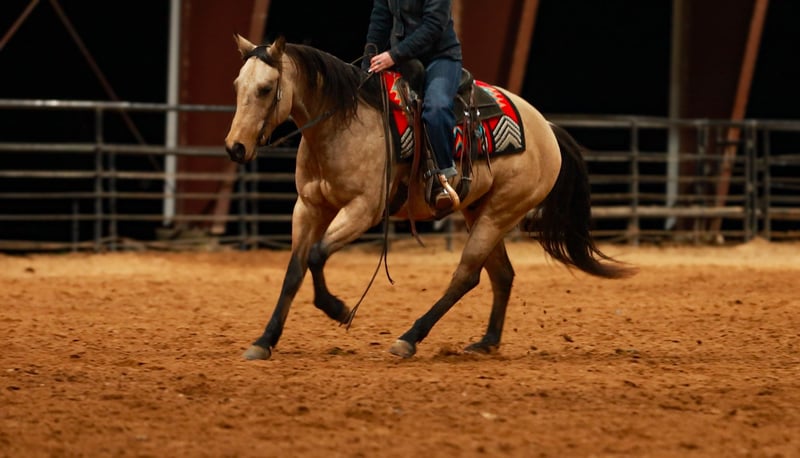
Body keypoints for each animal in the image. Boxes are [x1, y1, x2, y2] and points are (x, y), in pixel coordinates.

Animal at [224, 35, 635, 360]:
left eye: (265, 89)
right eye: (237, 84)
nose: (235, 147)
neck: (342, 123)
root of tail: (545, 128)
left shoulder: (363, 210)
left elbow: (316, 255)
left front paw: (338, 309)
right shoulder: (309, 207)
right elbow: (294, 271)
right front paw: (264, 340)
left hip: (500, 212)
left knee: (466, 276)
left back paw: (409, 338)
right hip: (478, 210)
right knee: (501, 275)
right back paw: (486, 341)